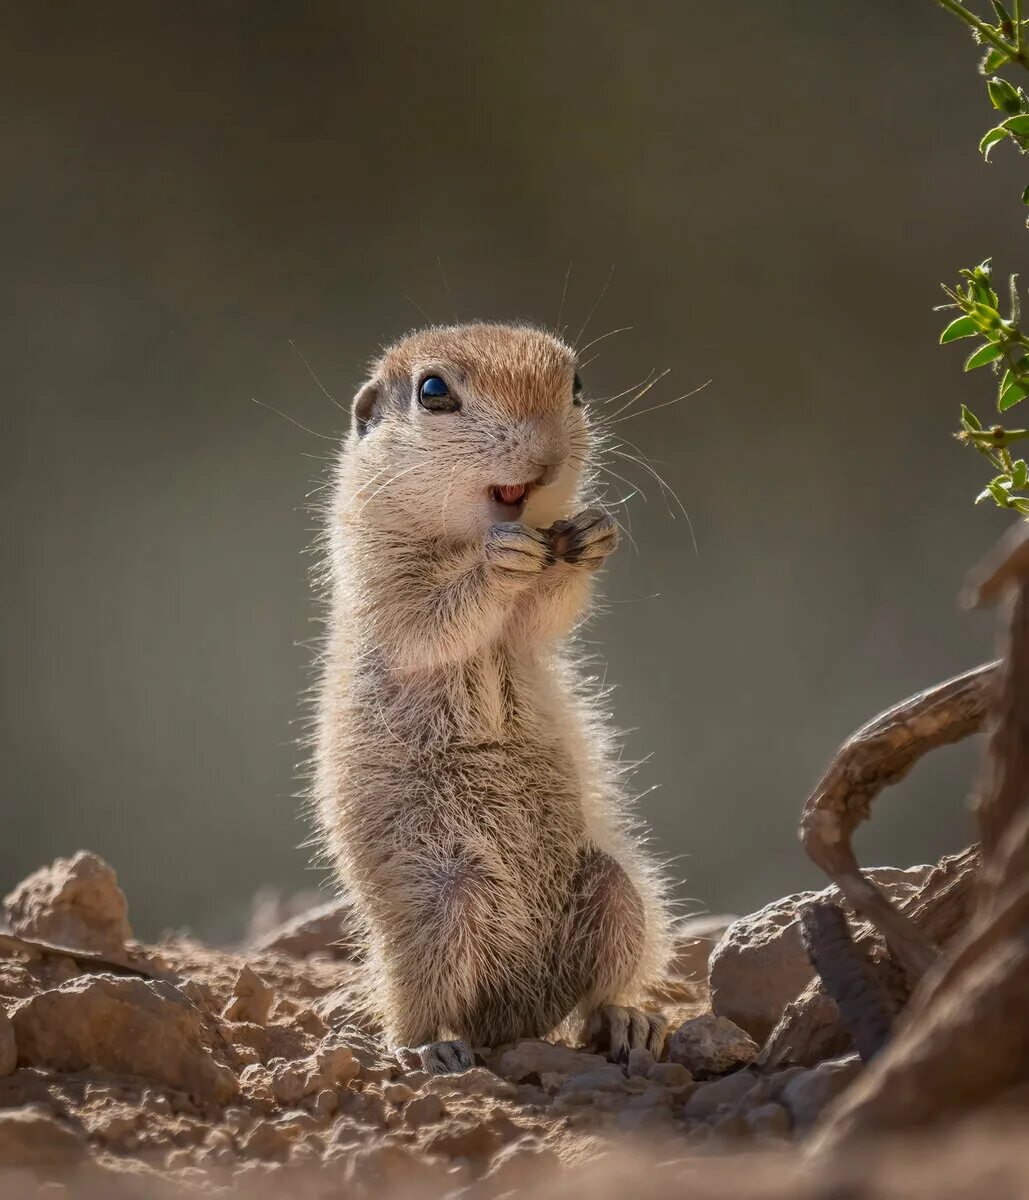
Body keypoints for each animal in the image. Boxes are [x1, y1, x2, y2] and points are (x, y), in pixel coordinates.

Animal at [311, 321, 671, 1080]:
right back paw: (430, 1046)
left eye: (576, 385)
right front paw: (496, 567)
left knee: (591, 1001)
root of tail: (517, 1011)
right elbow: (429, 621)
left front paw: (593, 535)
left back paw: (627, 1020)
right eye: (432, 391)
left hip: (615, 891)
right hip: (443, 911)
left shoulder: (528, 624)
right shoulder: (384, 583)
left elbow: (543, 616)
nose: (546, 453)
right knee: (419, 1002)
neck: (477, 531)